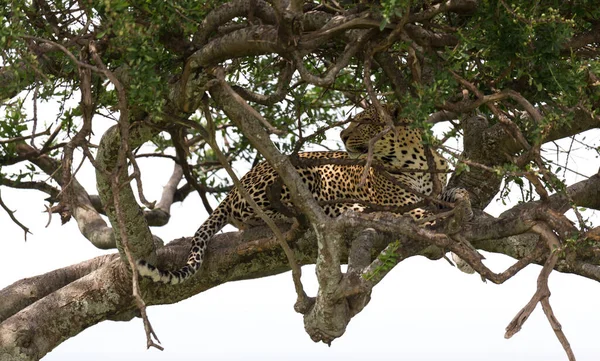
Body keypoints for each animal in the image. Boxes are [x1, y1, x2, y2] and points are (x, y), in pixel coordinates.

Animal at [137, 105, 450, 284]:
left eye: (362, 123)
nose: (343, 137)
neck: (415, 160)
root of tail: (236, 186)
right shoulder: (400, 202)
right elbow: (424, 210)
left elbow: (443, 196)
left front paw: (454, 196)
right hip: (298, 173)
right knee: (260, 214)